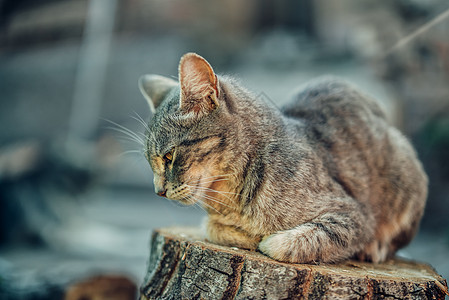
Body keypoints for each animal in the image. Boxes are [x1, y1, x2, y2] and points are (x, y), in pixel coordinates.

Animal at [138, 53, 426, 262]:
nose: (158, 191)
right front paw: (243, 235)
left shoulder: (354, 215)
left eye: (169, 156)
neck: (228, 199)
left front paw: (266, 240)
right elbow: (211, 226)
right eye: (151, 161)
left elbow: (294, 241)